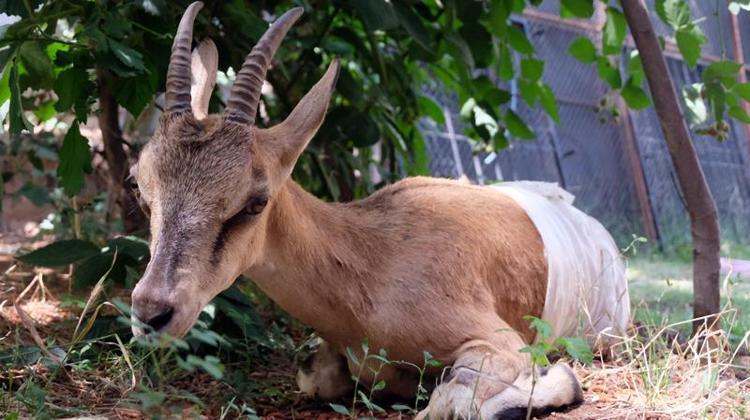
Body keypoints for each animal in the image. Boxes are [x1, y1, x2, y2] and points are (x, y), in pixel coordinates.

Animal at [129, 3, 631, 419]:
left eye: (254, 202)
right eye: (140, 187)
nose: (152, 313)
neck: (370, 267)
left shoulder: (498, 342)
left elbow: (452, 402)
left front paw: (559, 379)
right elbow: (317, 379)